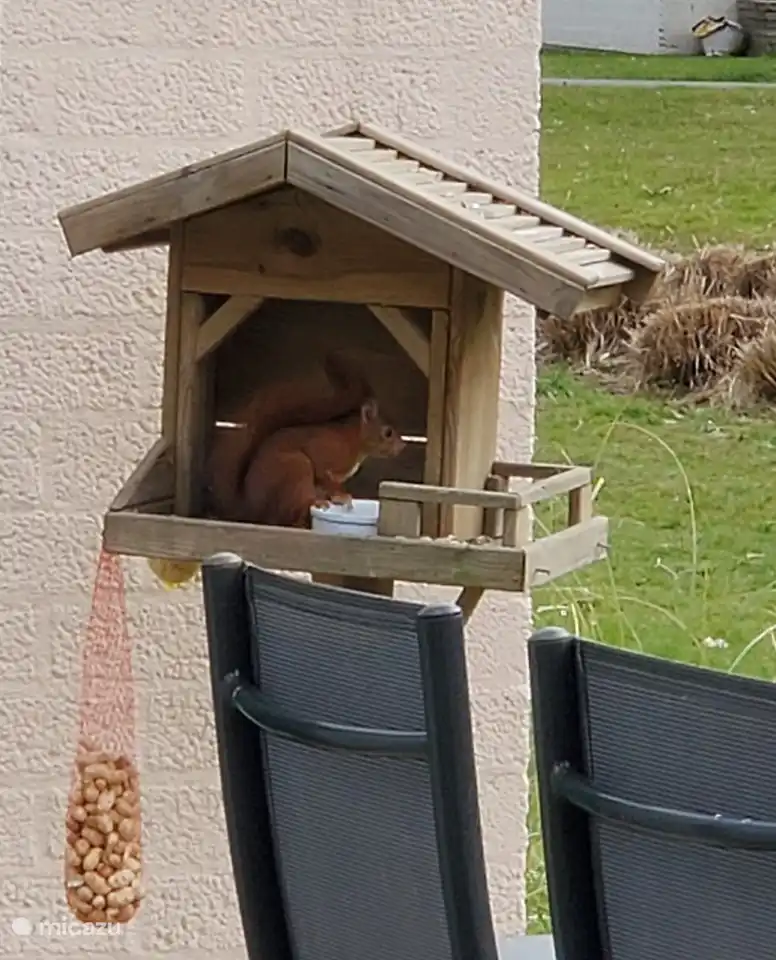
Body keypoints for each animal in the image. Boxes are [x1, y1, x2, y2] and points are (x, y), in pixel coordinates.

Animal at [208, 353, 405, 527]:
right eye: (388, 432)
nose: (403, 445)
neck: (354, 441)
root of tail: (252, 512)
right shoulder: (325, 453)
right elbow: (325, 476)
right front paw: (343, 496)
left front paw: (339, 497)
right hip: (296, 469)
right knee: (293, 510)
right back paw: (316, 503)